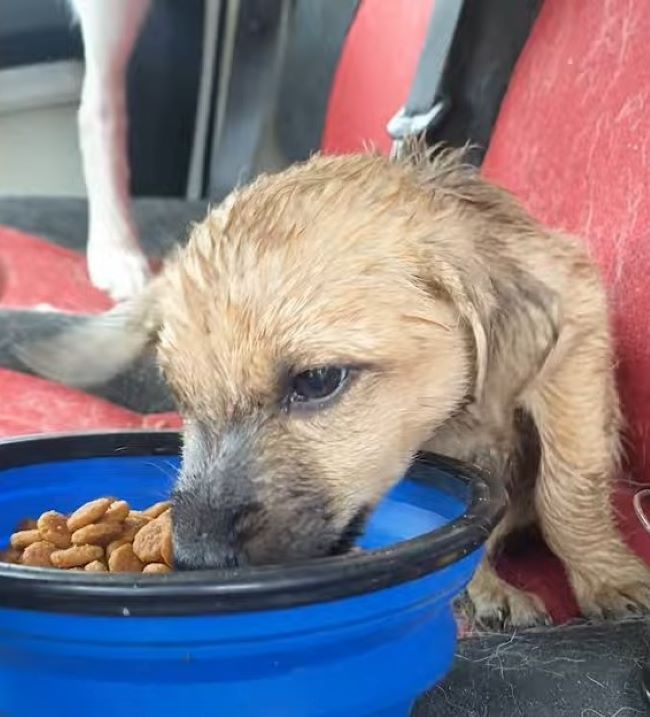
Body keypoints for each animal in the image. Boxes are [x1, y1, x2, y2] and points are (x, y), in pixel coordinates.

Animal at [22, 147, 644, 628]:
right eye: (179, 397)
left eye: (317, 380)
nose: (195, 557)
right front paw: (489, 586)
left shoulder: (575, 349)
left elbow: (570, 488)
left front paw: (607, 576)